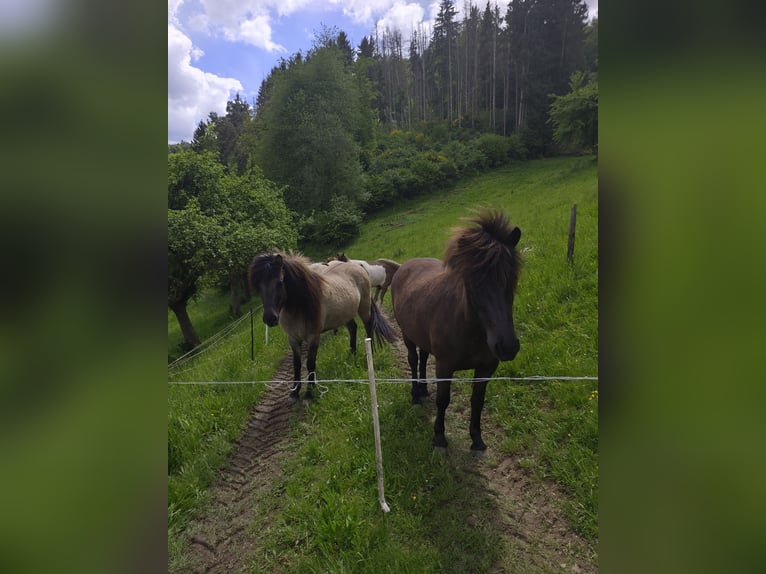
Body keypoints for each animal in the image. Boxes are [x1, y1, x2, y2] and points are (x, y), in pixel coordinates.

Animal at [249, 252, 398, 402]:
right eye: (259, 287)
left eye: (280, 282)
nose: (270, 318)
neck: (298, 308)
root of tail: (356, 266)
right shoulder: (293, 339)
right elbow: (296, 364)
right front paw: (294, 392)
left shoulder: (314, 337)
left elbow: (310, 364)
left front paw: (309, 393)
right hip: (344, 315)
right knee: (353, 328)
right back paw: (352, 354)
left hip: (364, 308)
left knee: (368, 327)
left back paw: (370, 352)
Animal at [390, 210, 522, 451]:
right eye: (474, 281)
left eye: (512, 278)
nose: (507, 346)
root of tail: (404, 266)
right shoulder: (445, 366)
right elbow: (443, 400)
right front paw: (439, 437)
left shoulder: (486, 368)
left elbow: (477, 401)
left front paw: (477, 439)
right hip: (407, 336)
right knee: (413, 360)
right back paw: (415, 394)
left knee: (423, 358)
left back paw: (423, 389)